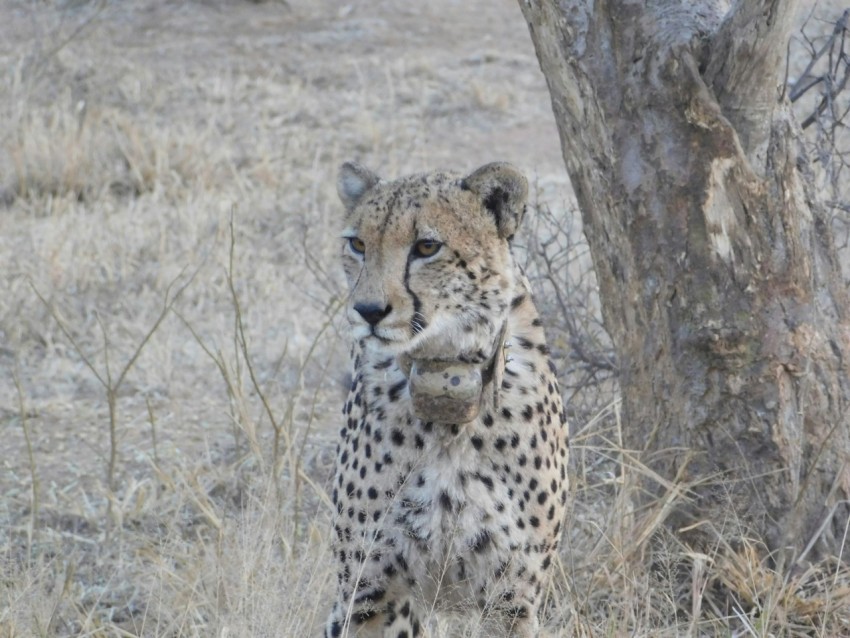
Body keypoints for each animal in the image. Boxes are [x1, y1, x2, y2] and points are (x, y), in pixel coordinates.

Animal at [325, 161, 569, 638]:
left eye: (426, 246)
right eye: (358, 244)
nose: (368, 311)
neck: (446, 383)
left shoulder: (510, 599)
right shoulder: (370, 592)